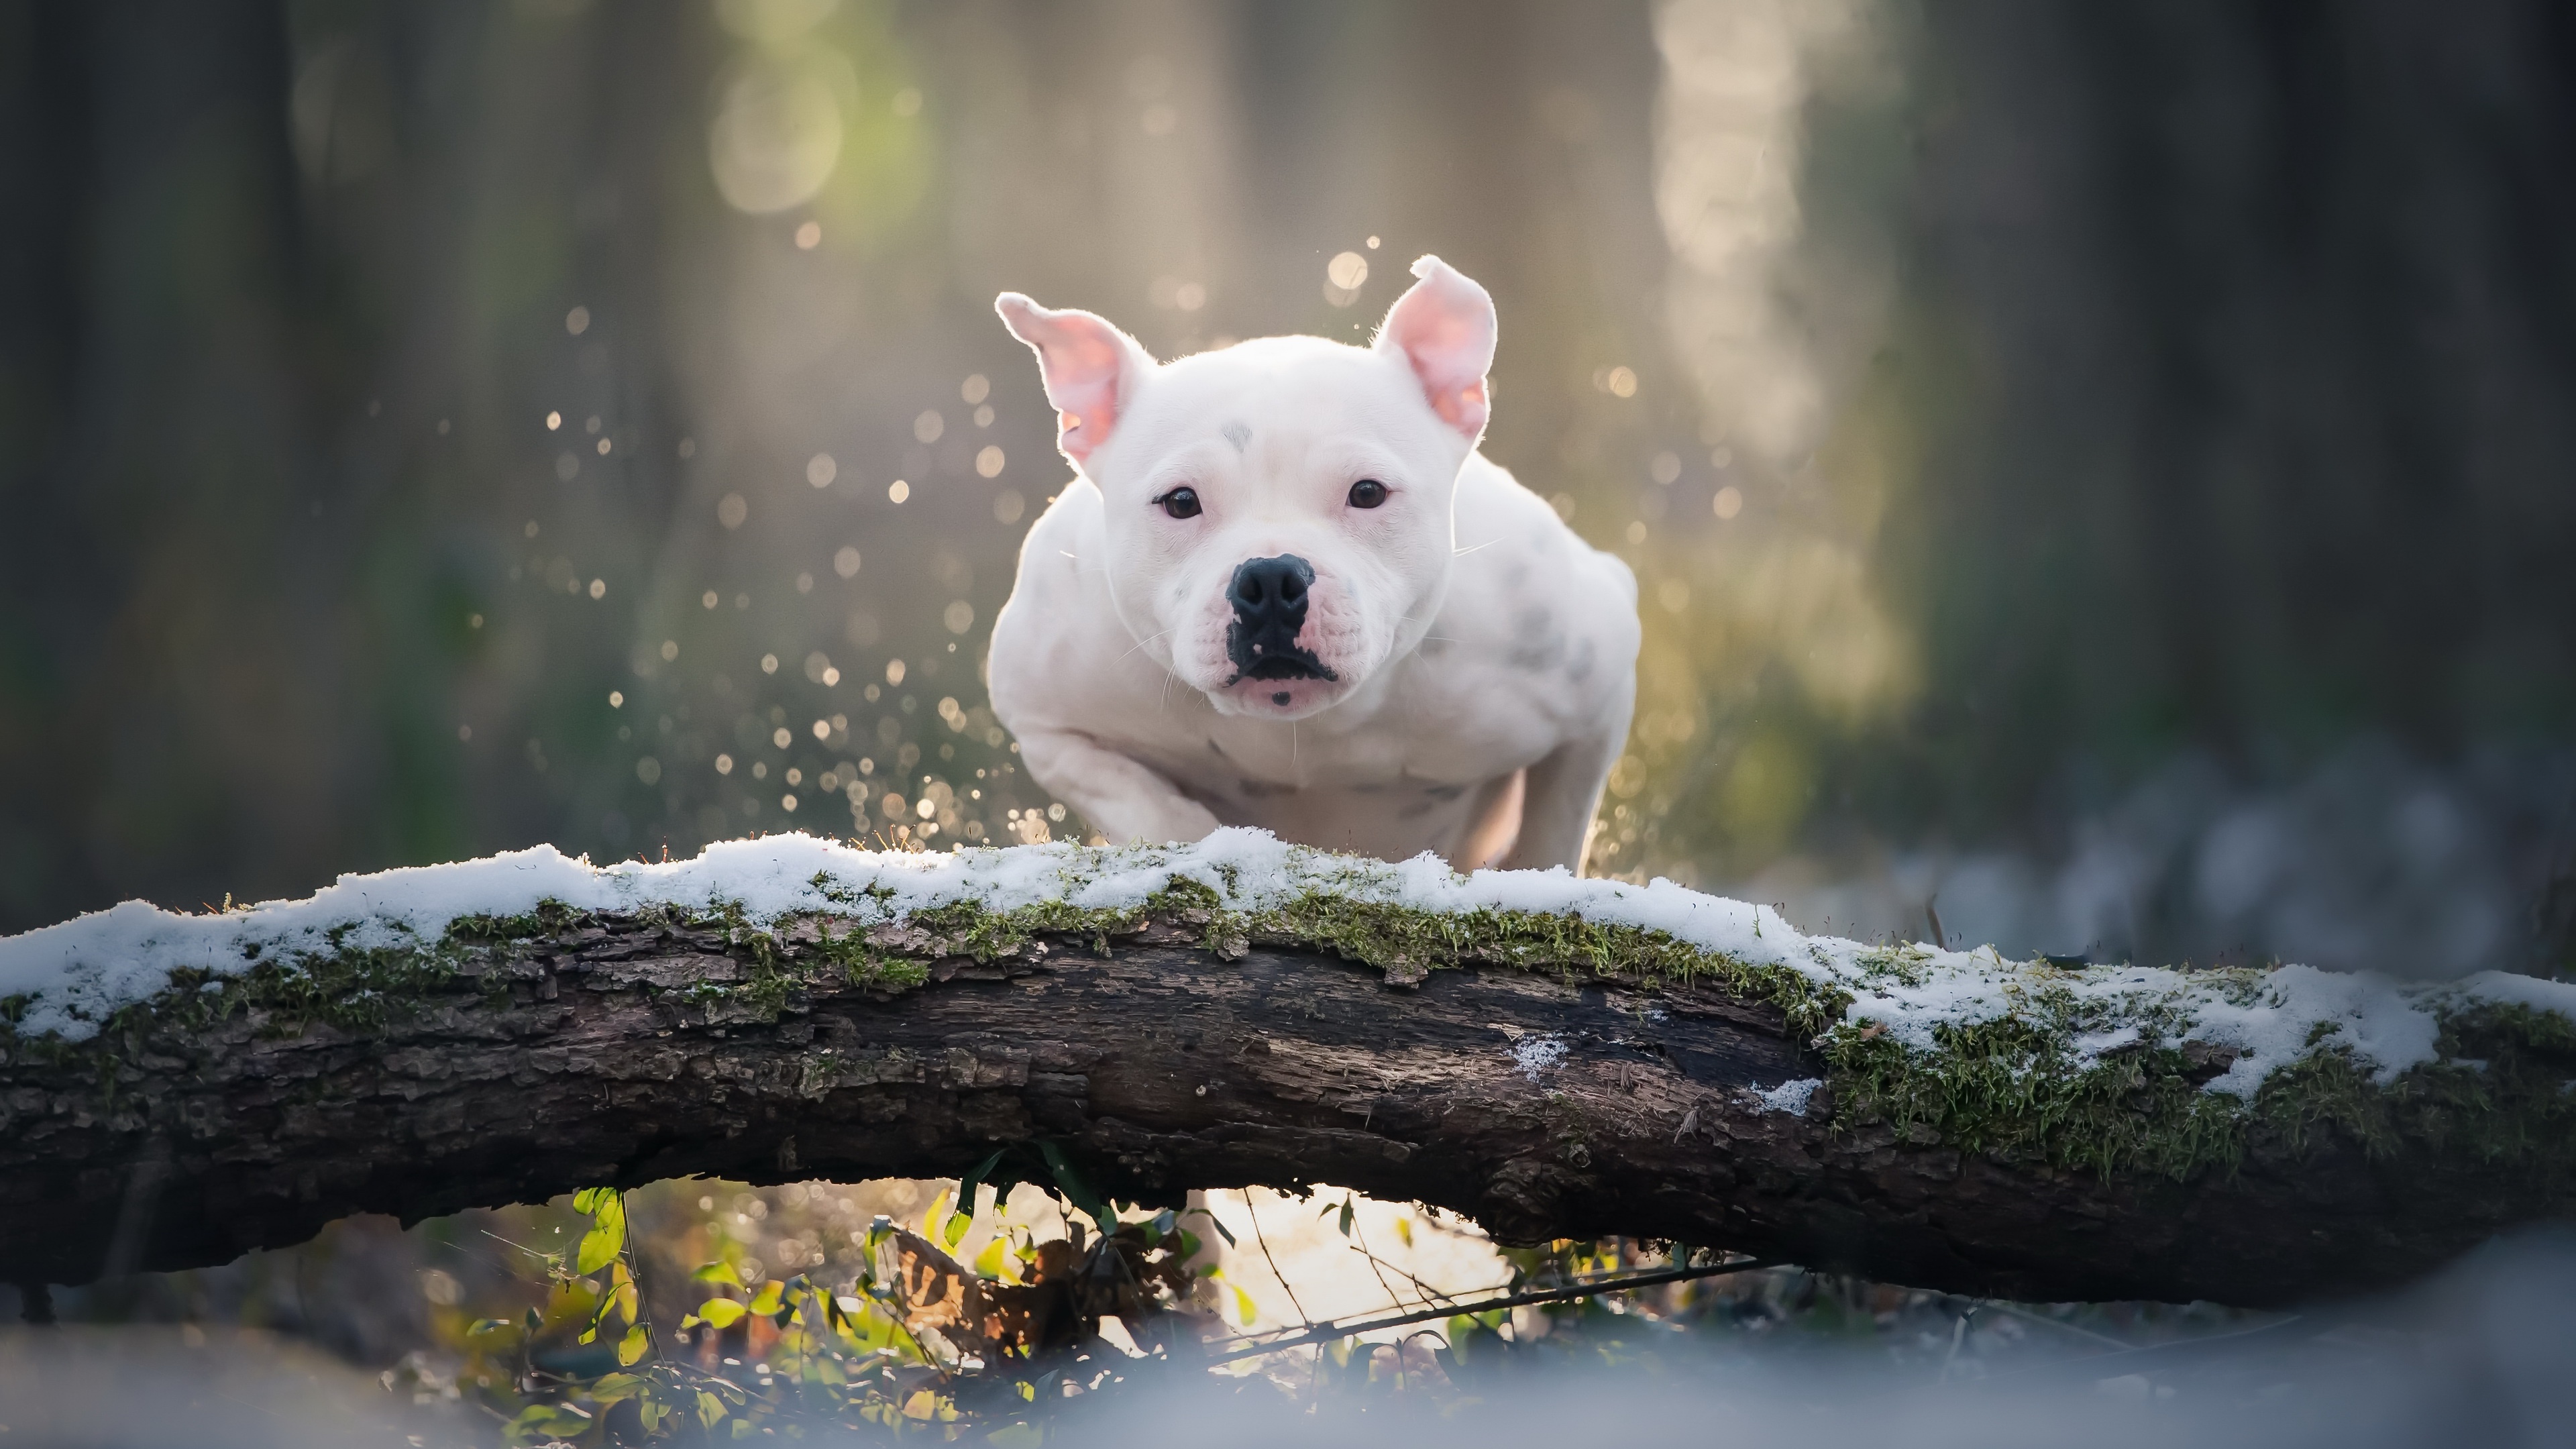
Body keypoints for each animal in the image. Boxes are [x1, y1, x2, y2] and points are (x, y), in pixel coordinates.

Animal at [979, 255, 1627, 866]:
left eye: (1367, 493)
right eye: (1181, 502)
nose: (1269, 579)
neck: (1307, 731)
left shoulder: (1594, 698)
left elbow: (1552, 834)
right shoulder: (1043, 719)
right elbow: (1144, 803)